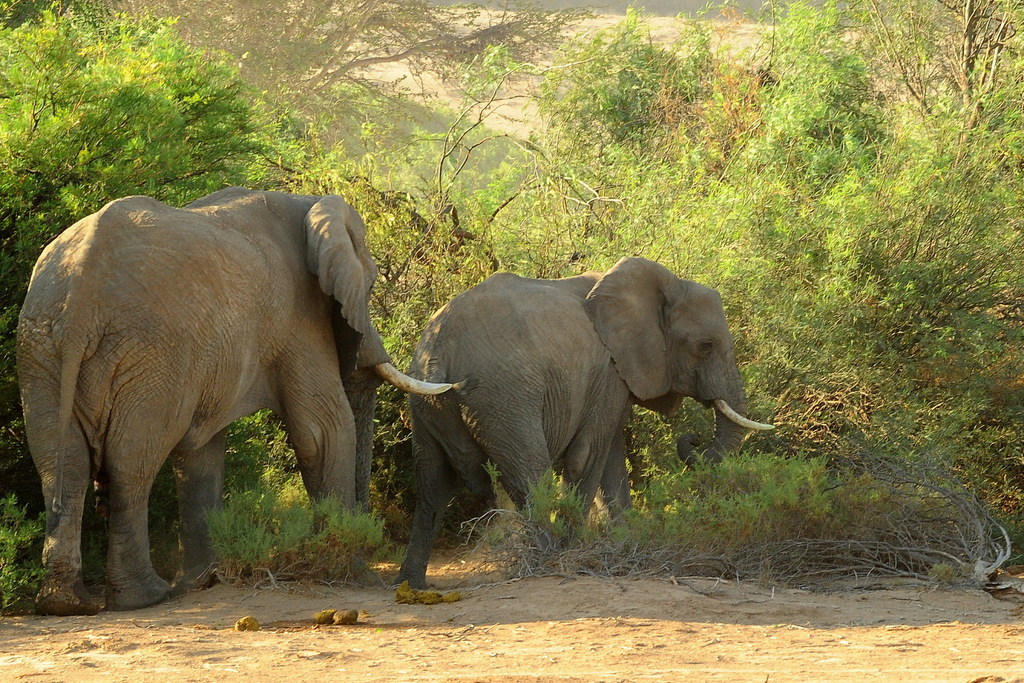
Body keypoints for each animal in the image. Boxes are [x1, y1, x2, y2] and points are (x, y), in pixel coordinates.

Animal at [17, 185, 452, 614]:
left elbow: (200, 451)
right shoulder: (298, 316)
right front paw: (355, 573)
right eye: (372, 284)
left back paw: (64, 602)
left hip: (41, 347)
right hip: (149, 352)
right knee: (131, 462)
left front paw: (202, 582)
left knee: (62, 464)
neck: (310, 205)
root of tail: (78, 296)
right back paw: (144, 597)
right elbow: (322, 430)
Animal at [395, 255, 770, 589]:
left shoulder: (614, 377)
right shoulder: (608, 372)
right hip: (503, 398)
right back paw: (543, 562)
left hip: (427, 404)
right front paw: (575, 553)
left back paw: (411, 584)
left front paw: (625, 544)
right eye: (705, 347)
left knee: (431, 485)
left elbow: (612, 458)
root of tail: (439, 352)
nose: (693, 439)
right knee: (531, 476)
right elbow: (587, 456)